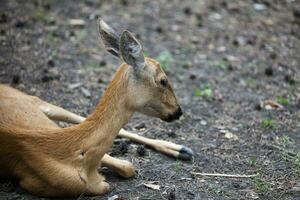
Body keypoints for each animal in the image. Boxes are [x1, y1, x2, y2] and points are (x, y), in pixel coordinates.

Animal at [0, 19, 192, 197]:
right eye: (163, 80)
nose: (178, 111)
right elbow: (118, 173)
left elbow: (128, 166)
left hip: (35, 101)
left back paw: (182, 150)